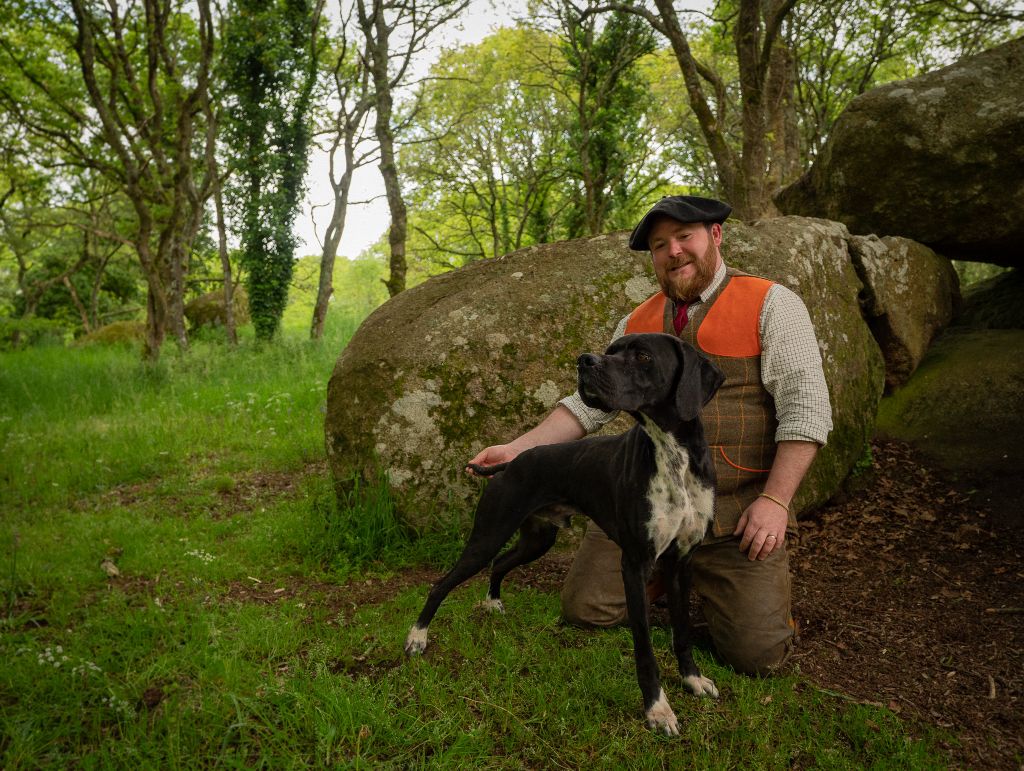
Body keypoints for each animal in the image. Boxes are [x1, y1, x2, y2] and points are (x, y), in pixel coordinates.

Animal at [404, 332, 725, 735]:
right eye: (611, 350)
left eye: (643, 356)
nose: (584, 360)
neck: (672, 456)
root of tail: (509, 463)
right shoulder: (635, 566)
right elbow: (645, 648)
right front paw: (657, 709)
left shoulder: (680, 563)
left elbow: (682, 633)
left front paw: (692, 680)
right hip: (488, 536)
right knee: (441, 584)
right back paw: (417, 637)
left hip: (536, 540)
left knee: (500, 563)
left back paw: (492, 604)